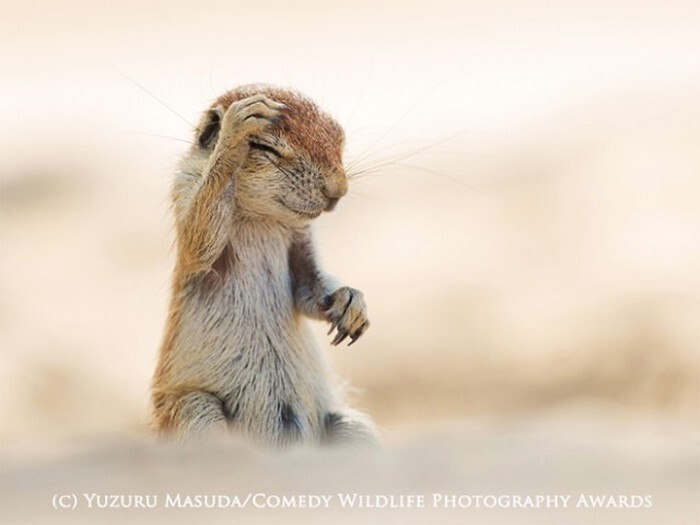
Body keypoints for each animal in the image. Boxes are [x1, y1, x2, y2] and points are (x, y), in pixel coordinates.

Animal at [149, 85, 378, 446]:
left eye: (338, 134)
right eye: (263, 147)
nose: (338, 191)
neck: (261, 217)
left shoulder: (301, 236)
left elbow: (308, 286)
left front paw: (351, 302)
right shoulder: (184, 188)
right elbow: (198, 242)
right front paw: (233, 132)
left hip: (352, 427)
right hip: (195, 409)